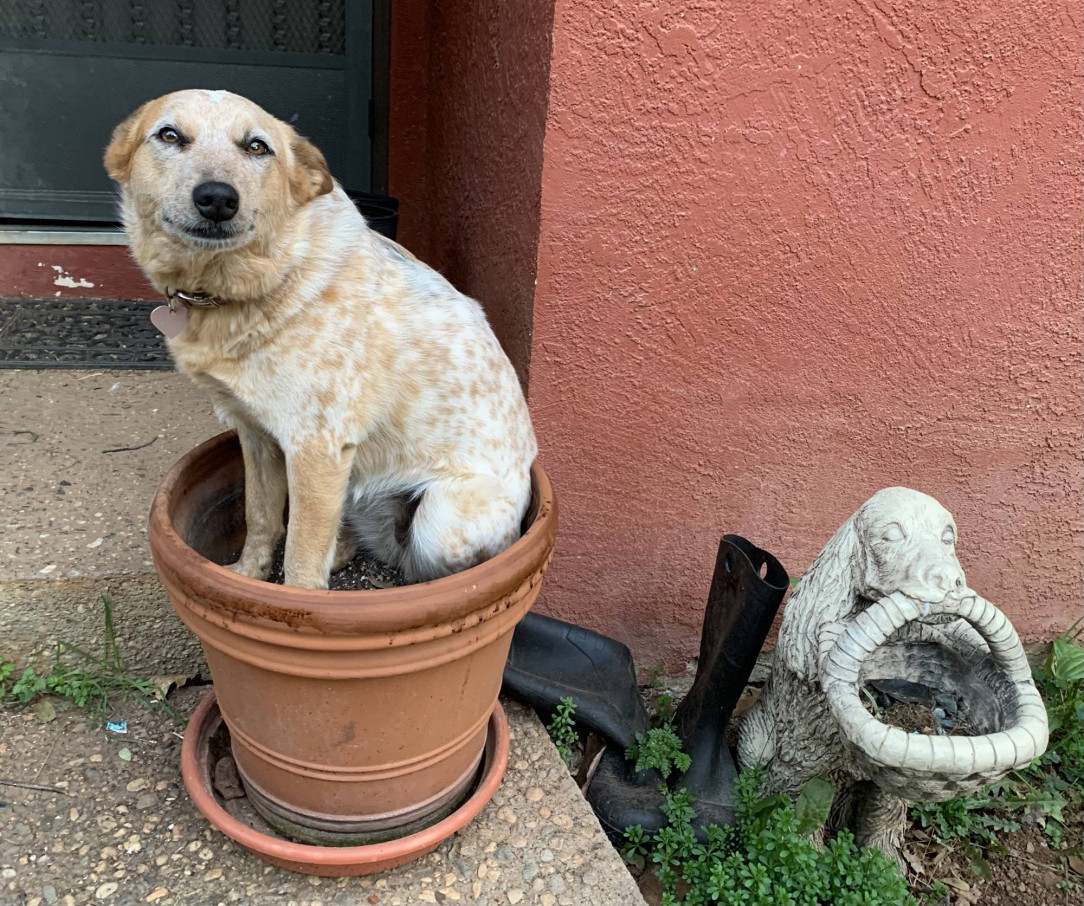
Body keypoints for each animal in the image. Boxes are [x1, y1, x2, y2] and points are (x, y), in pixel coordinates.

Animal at [105, 90, 537, 589]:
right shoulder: (255, 434)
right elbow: (260, 518)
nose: (217, 198)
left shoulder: (316, 447)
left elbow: (301, 560)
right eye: (170, 135)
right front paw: (247, 577)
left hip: (439, 522)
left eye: (257, 147)